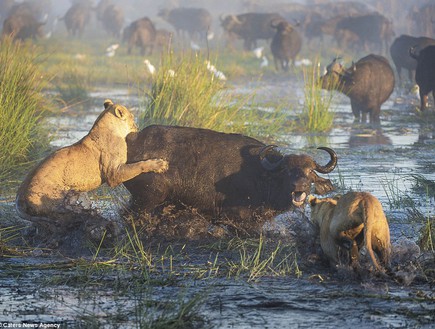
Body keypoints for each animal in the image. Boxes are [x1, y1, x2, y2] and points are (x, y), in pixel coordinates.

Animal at [122, 123, 338, 233]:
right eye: (286, 170)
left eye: (310, 171)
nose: (299, 185)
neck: (262, 177)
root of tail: (133, 141)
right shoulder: (234, 219)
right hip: (148, 199)